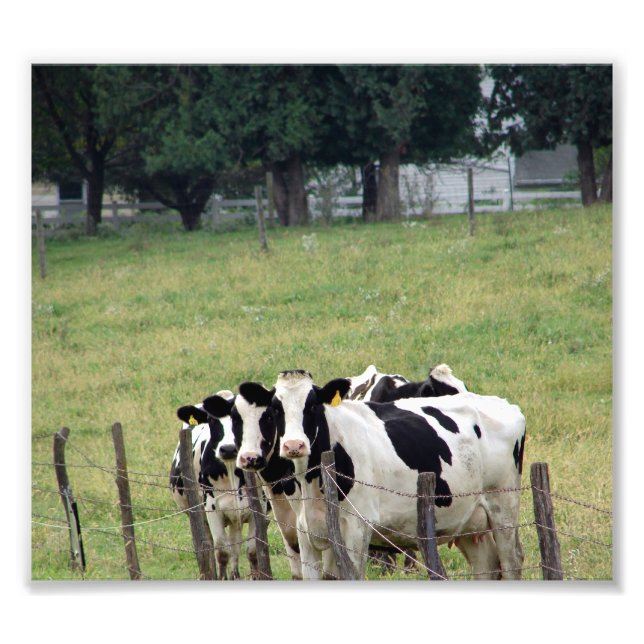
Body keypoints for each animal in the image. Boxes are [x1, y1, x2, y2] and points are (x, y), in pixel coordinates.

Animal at [169, 391, 262, 580]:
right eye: (211, 420)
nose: (228, 449)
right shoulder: (212, 507)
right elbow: (222, 552)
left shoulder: (260, 506)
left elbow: (252, 550)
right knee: (208, 546)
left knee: (235, 544)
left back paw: (235, 575)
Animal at [226, 370, 525, 580]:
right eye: (276, 409)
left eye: (312, 406)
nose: (293, 445)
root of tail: (504, 404)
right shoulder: (306, 535)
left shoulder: (357, 530)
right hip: (469, 521)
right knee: (487, 565)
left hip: (503, 509)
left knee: (511, 563)